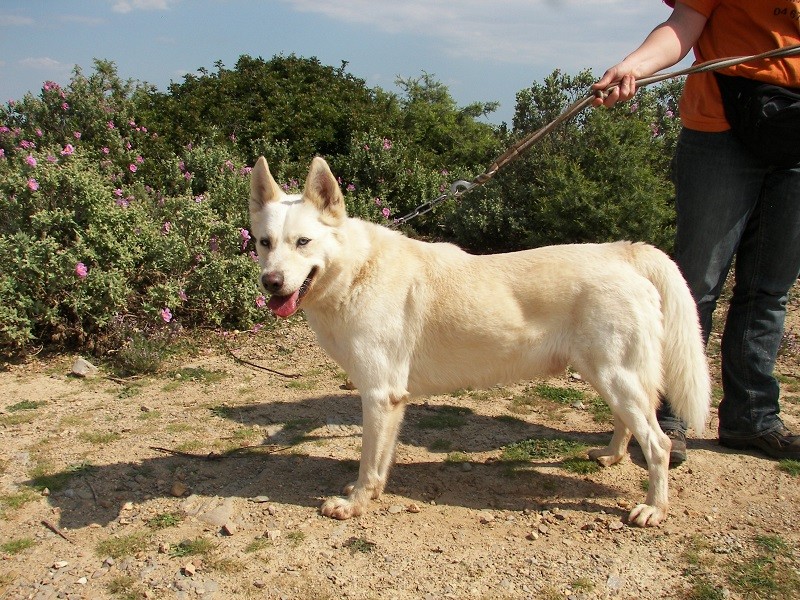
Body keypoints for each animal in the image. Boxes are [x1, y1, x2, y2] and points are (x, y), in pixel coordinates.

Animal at [250, 157, 712, 528]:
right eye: (264, 243)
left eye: (303, 242)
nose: (270, 282)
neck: (357, 270)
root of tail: (622, 251)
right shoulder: (391, 401)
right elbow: (379, 462)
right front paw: (370, 493)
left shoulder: (380, 396)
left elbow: (368, 462)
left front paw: (356, 503)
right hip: (606, 376)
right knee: (627, 424)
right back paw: (611, 456)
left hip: (616, 377)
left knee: (658, 445)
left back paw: (654, 508)